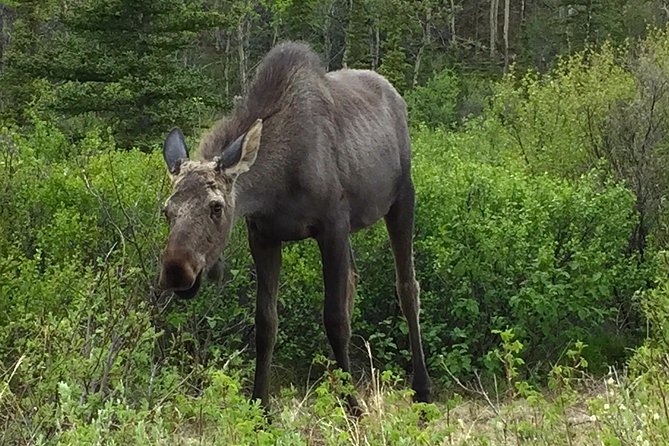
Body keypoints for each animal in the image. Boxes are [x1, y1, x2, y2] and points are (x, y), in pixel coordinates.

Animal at [160, 40, 434, 412]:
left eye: (216, 207)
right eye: (166, 210)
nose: (176, 270)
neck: (277, 183)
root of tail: (395, 95)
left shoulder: (331, 226)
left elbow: (334, 318)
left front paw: (354, 407)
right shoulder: (263, 236)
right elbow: (266, 323)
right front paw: (261, 406)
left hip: (402, 198)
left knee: (407, 287)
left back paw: (422, 388)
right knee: (354, 279)